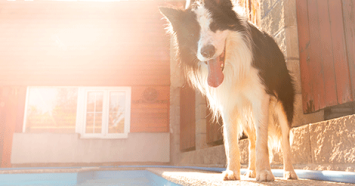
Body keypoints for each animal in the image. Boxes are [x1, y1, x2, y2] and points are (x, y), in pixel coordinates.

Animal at [161, 0, 298, 182]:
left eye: (215, 26)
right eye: (192, 34)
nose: (207, 51)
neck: (232, 64)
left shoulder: (260, 98)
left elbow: (263, 140)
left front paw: (265, 172)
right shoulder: (228, 104)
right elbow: (232, 140)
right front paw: (233, 172)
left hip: (282, 102)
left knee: (284, 138)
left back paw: (289, 172)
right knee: (252, 139)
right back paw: (251, 170)